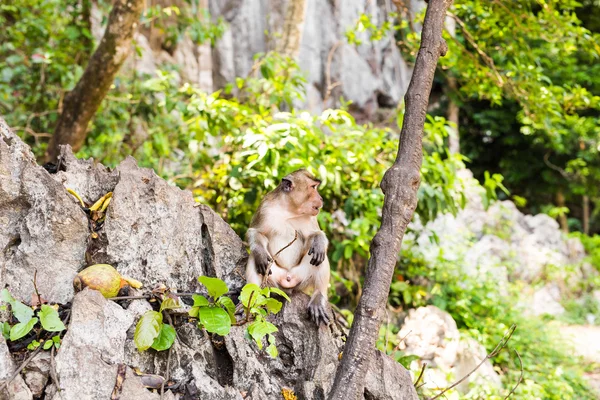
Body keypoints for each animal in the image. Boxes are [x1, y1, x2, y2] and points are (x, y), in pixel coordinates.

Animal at [245, 169, 332, 324]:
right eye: (313, 187)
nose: (321, 198)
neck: (288, 211)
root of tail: (287, 280)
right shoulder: (265, 208)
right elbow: (255, 232)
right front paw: (260, 253)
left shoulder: (311, 216)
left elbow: (314, 235)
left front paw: (319, 241)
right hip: (272, 280)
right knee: (255, 259)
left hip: (301, 279)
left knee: (320, 257)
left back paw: (318, 297)